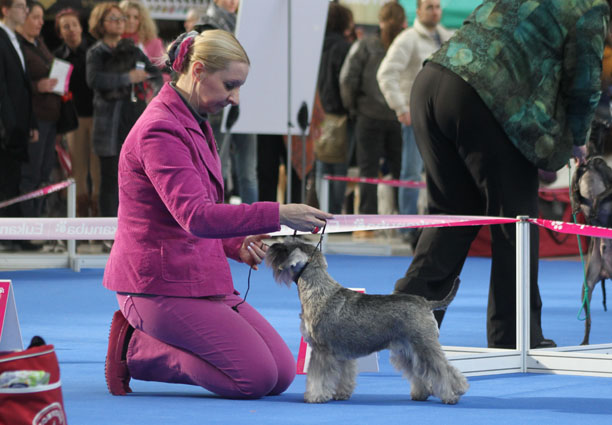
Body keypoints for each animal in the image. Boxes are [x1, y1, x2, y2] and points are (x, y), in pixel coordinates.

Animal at [265, 238, 469, 404]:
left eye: (285, 248)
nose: (270, 246)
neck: (318, 290)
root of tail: (426, 302)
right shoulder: (341, 353)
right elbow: (344, 376)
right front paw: (341, 394)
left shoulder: (322, 350)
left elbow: (317, 377)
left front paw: (315, 396)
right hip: (407, 350)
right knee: (419, 371)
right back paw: (422, 393)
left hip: (424, 346)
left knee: (443, 369)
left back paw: (453, 393)